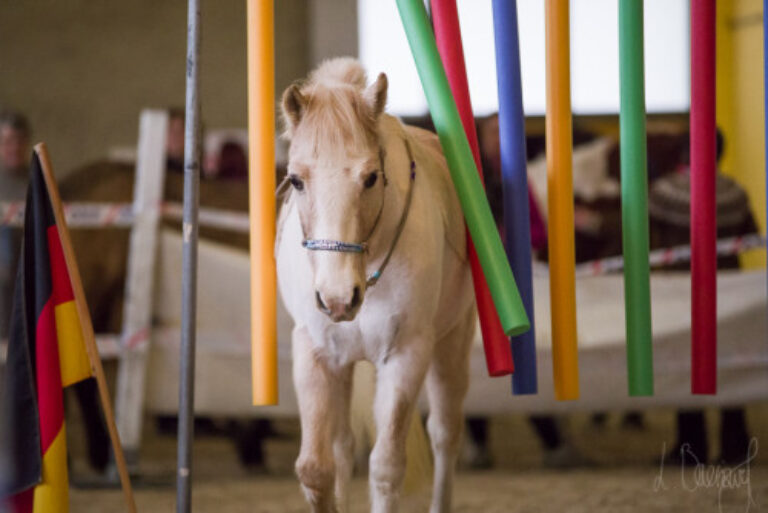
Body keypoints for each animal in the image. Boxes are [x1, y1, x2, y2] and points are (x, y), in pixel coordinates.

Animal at [276, 57, 476, 513]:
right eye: (295, 180)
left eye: (371, 177)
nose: (337, 298)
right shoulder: (315, 354)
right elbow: (316, 469)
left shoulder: (406, 355)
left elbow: (385, 468)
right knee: (342, 447)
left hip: (453, 343)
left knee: (446, 435)